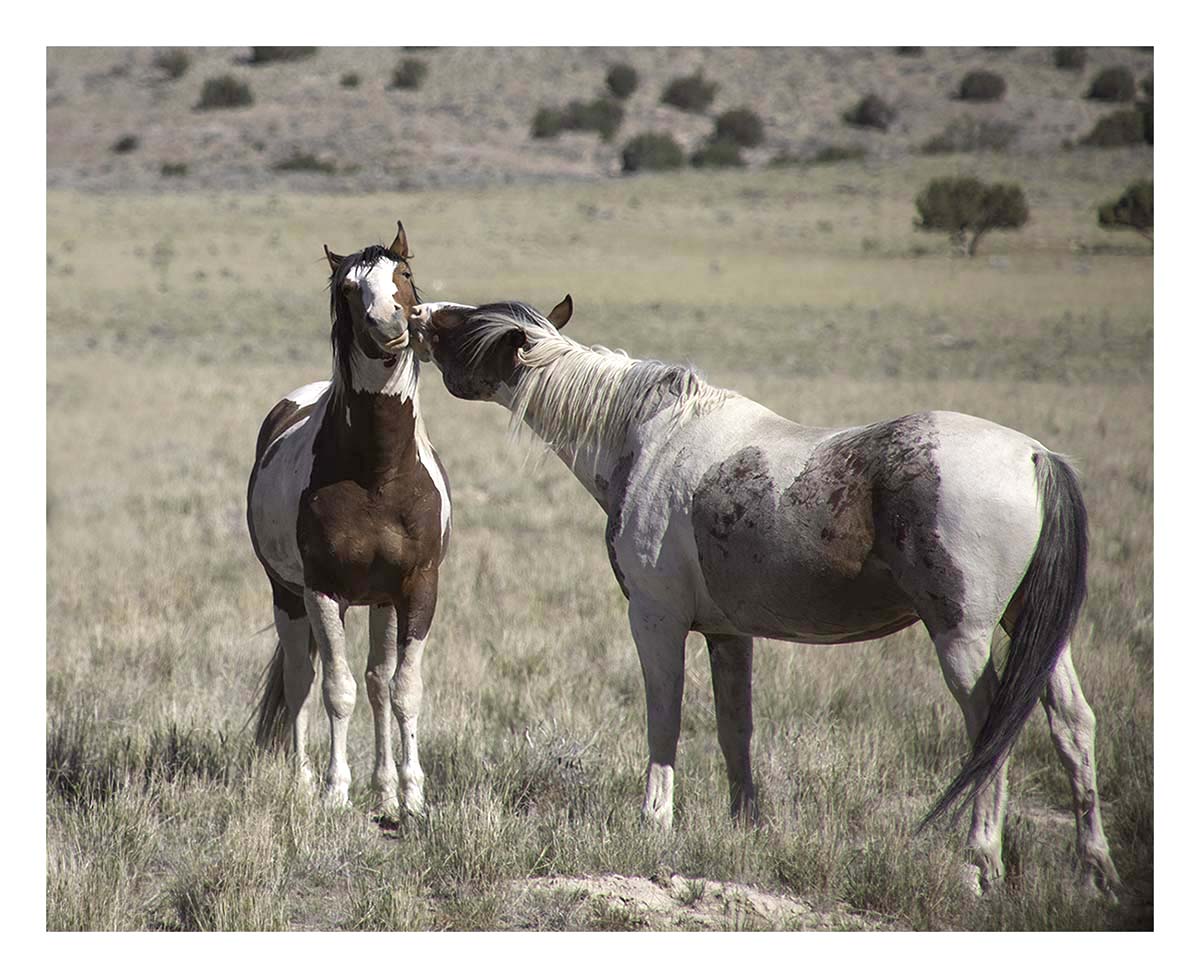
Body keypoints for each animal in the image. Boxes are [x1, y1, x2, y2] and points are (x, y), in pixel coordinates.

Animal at [246, 222, 450, 818]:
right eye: (348, 288)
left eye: (402, 273)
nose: (388, 325)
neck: (378, 473)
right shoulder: (323, 591)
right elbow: (336, 690)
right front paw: (335, 791)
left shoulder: (417, 589)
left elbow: (402, 689)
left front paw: (410, 795)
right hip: (289, 596)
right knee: (301, 679)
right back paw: (302, 782)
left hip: (380, 602)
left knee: (378, 682)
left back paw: (382, 789)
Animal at [407, 296, 1120, 898]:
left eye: (467, 326)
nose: (418, 313)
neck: (647, 437)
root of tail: (1036, 457)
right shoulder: (729, 633)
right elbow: (735, 729)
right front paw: (746, 824)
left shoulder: (656, 621)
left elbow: (664, 720)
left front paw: (654, 820)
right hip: (1035, 631)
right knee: (1073, 727)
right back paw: (1094, 875)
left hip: (962, 637)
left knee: (991, 735)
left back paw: (978, 866)